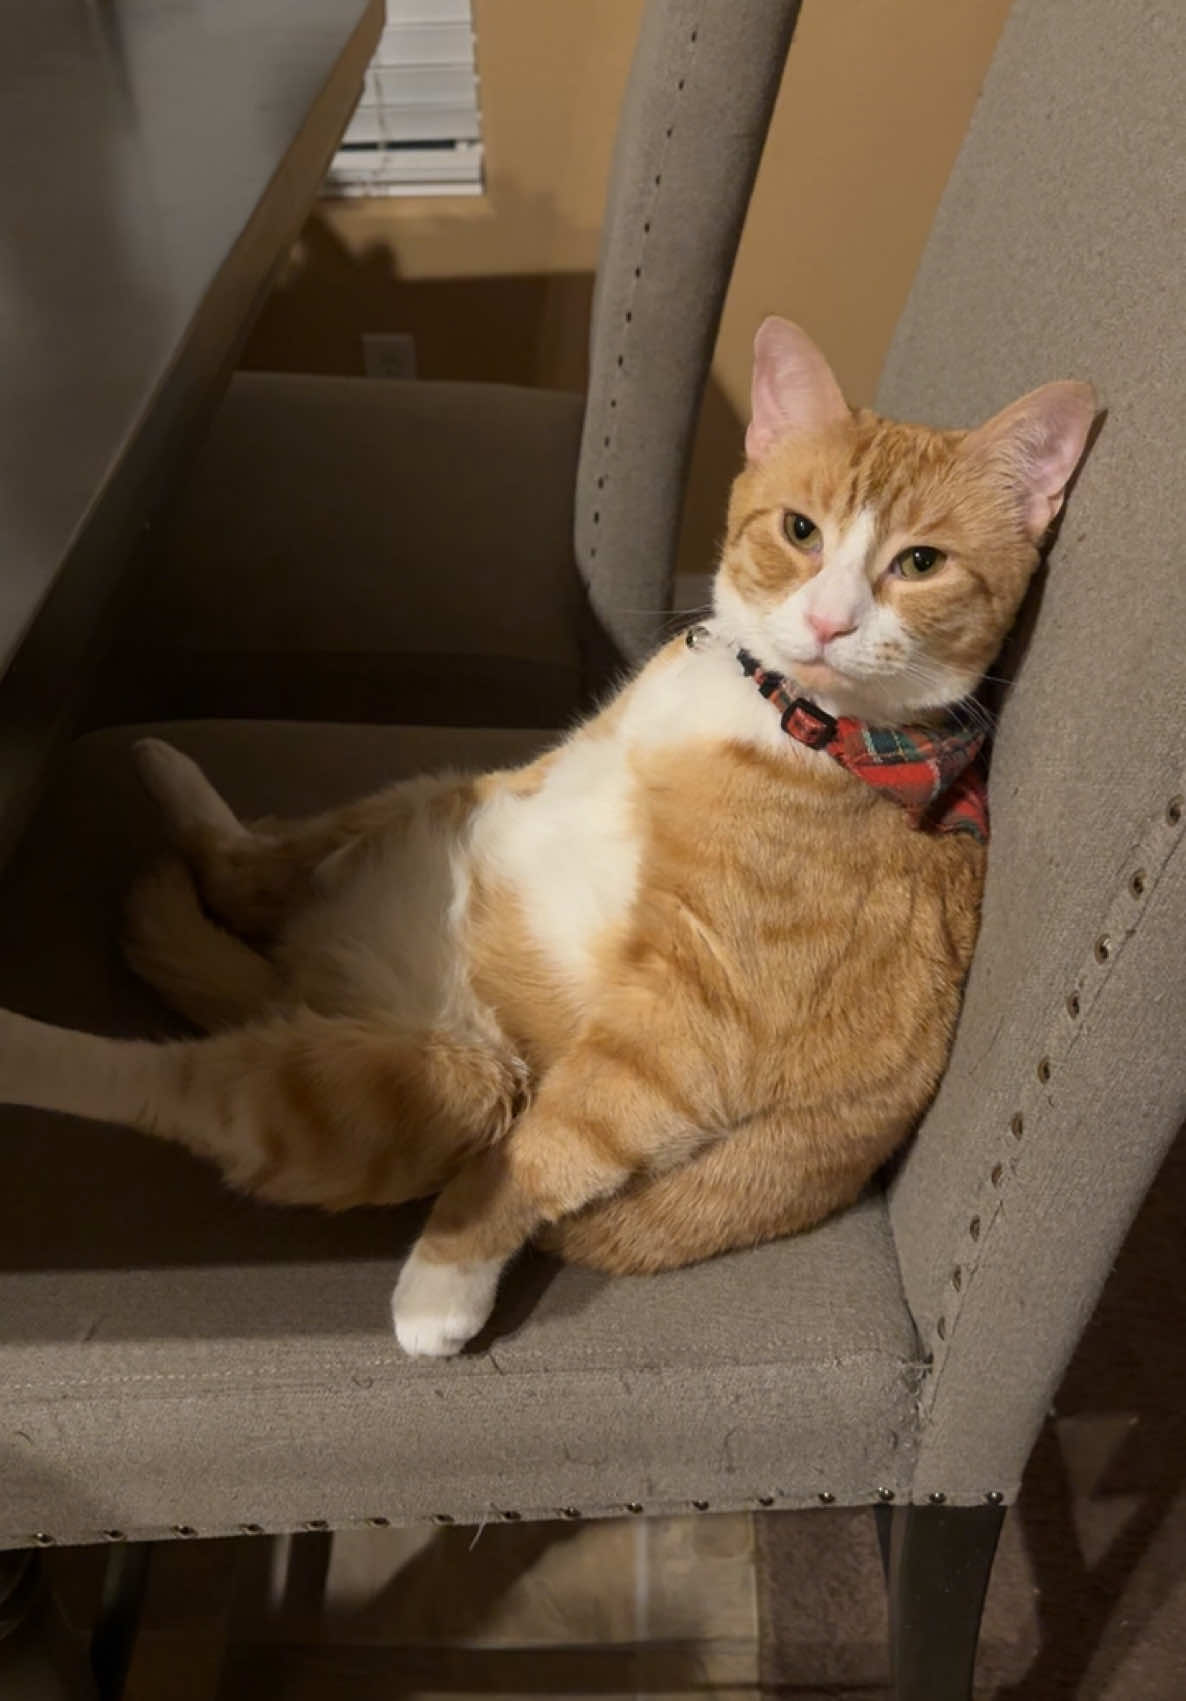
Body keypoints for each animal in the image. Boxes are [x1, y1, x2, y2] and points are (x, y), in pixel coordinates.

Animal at [0, 319, 1095, 1353]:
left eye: (920, 563)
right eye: (799, 530)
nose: (829, 622)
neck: (784, 713)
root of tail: (303, 986)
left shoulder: (686, 1021)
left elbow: (549, 1148)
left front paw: (444, 1280)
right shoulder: (533, 776)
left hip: (442, 1083)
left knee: (167, 1082)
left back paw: (29, 1045)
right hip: (437, 800)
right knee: (252, 870)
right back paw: (172, 782)